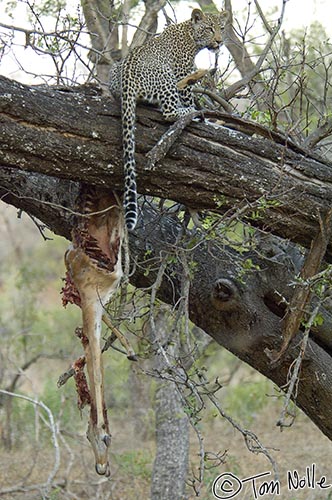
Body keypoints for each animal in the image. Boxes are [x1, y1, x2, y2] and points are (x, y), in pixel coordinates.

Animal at [110, 8, 230, 230]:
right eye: (210, 29)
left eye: (222, 28)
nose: (219, 41)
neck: (190, 33)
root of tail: (126, 80)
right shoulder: (182, 69)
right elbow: (187, 93)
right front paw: (193, 107)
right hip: (165, 74)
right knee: (169, 111)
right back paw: (192, 113)